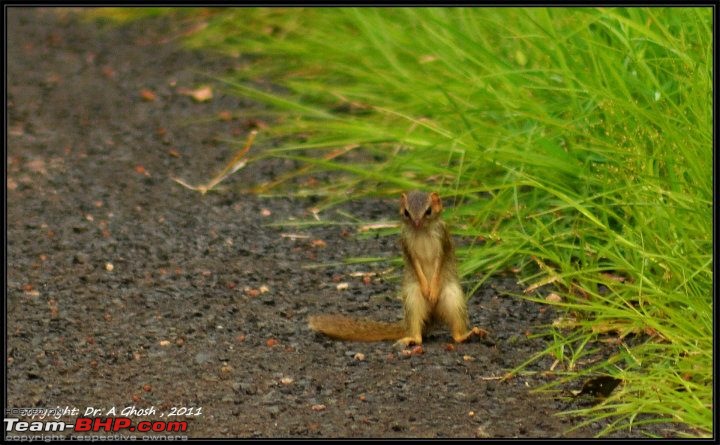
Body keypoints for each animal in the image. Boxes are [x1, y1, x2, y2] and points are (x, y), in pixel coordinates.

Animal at [308, 190, 484, 346]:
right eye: (406, 212)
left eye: (428, 211)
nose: (416, 223)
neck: (422, 232)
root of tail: (433, 315)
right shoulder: (407, 245)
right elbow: (416, 264)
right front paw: (426, 288)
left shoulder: (443, 239)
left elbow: (439, 264)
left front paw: (432, 290)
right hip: (413, 300)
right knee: (417, 333)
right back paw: (411, 339)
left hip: (454, 299)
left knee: (456, 332)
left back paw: (468, 334)